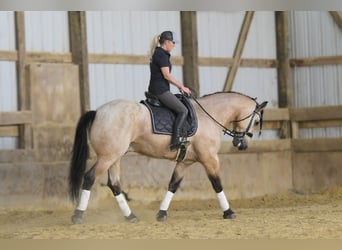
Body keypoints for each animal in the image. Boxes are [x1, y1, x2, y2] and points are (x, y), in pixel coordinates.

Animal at [69, 91, 268, 224]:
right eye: (257, 121)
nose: (241, 145)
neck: (209, 116)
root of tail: (98, 112)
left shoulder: (185, 162)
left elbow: (173, 184)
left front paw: (162, 213)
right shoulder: (210, 159)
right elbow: (217, 184)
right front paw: (229, 212)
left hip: (114, 157)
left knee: (114, 184)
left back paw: (130, 216)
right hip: (107, 157)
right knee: (90, 177)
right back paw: (77, 215)